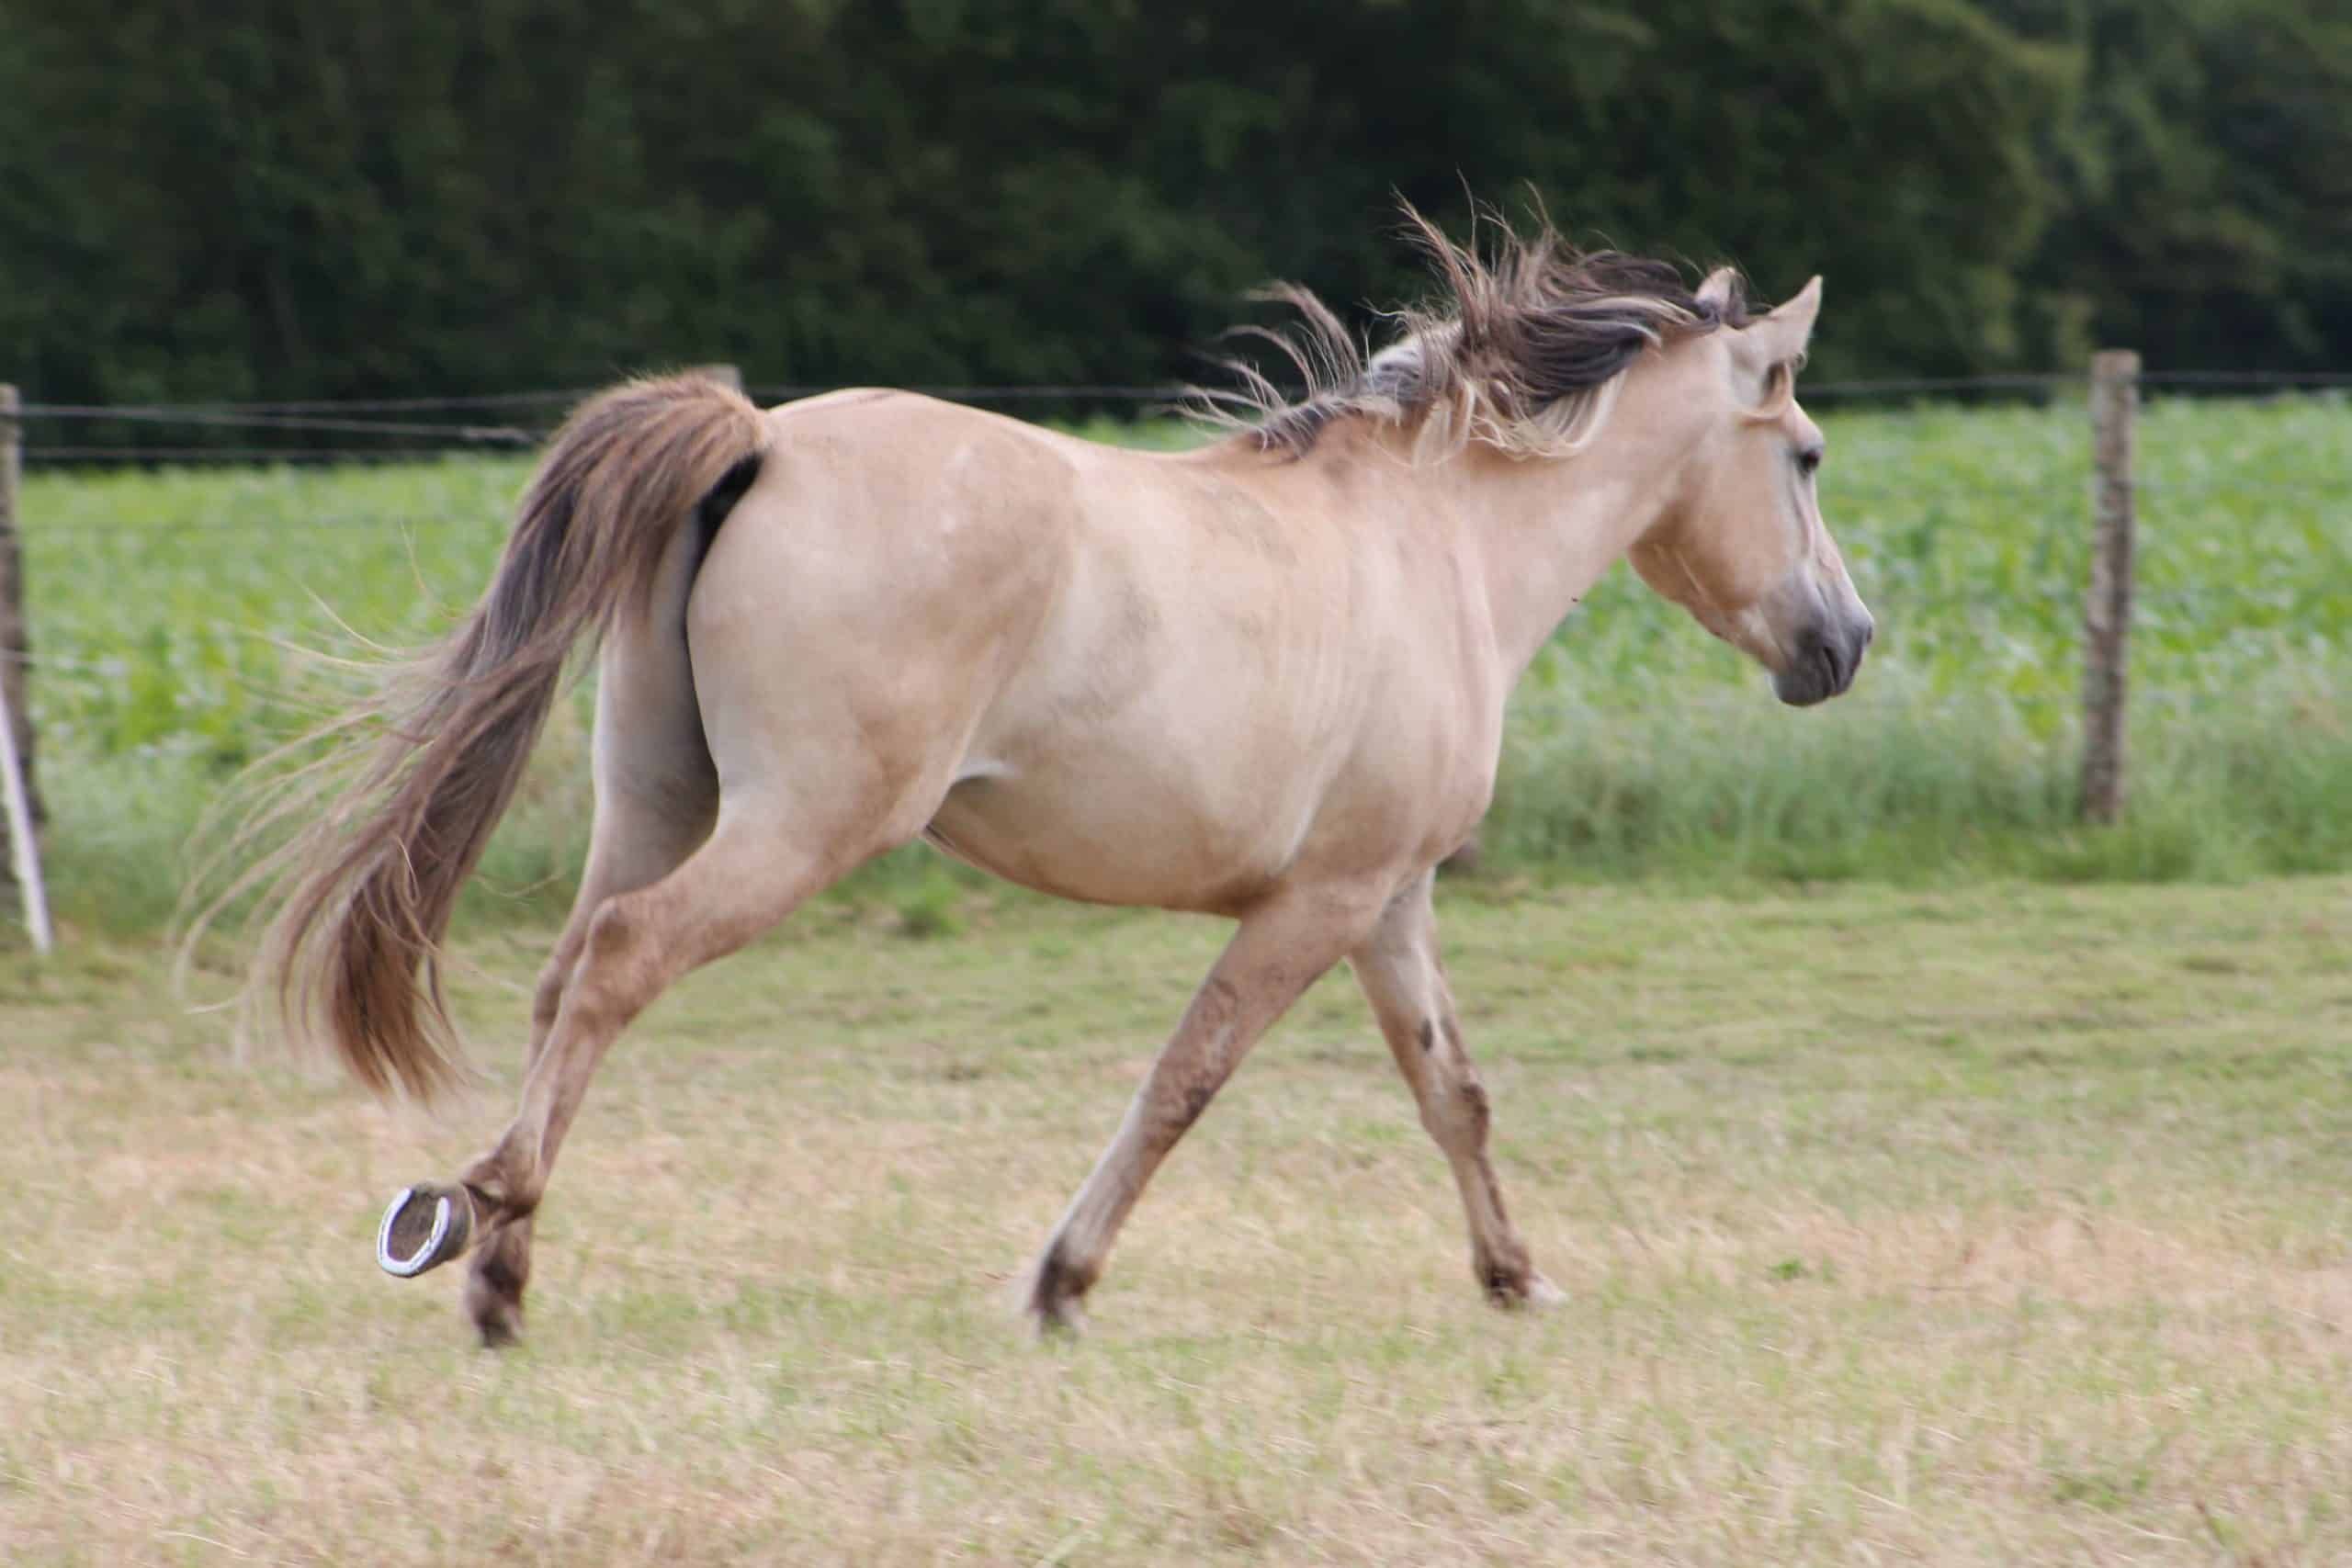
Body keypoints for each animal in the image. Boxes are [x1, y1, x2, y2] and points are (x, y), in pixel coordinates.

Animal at [242, 208, 1872, 1345]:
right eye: (1804, 450)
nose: (1845, 642)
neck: (1441, 543)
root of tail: (758, 440)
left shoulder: (1387, 893)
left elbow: (1452, 1090)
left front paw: (1515, 1277)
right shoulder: (1320, 899)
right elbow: (1186, 1077)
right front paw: (1059, 1281)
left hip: (657, 802)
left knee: (564, 975)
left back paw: (498, 1268)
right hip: (798, 825)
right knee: (623, 959)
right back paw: (486, 1226)